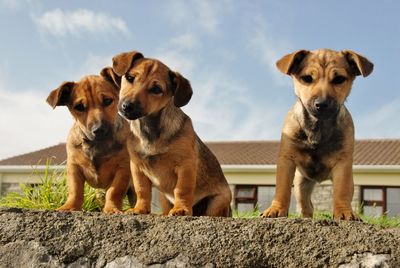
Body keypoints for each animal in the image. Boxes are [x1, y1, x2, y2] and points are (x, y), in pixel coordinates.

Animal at [46, 67, 131, 214]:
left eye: (107, 101)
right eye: (79, 107)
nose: (99, 130)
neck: (97, 144)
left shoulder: (123, 168)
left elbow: (114, 191)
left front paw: (112, 208)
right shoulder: (74, 167)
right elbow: (75, 190)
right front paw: (69, 206)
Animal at [111, 50, 233, 217]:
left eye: (156, 89)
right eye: (130, 78)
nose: (127, 106)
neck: (150, 128)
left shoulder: (185, 165)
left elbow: (182, 189)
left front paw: (181, 209)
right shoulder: (137, 167)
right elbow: (142, 190)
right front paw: (139, 209)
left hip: (218, 201)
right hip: (163, 198)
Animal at [260, 49, 374, 221]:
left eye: (339, 79)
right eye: (307, 78)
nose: (321, 104)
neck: (318, 126)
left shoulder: (343, 164)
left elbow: (341, 191)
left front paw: (344, 212)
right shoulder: (286, 159)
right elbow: (282, 188)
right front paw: (276, 209)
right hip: (301, 184)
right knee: (306, 205)